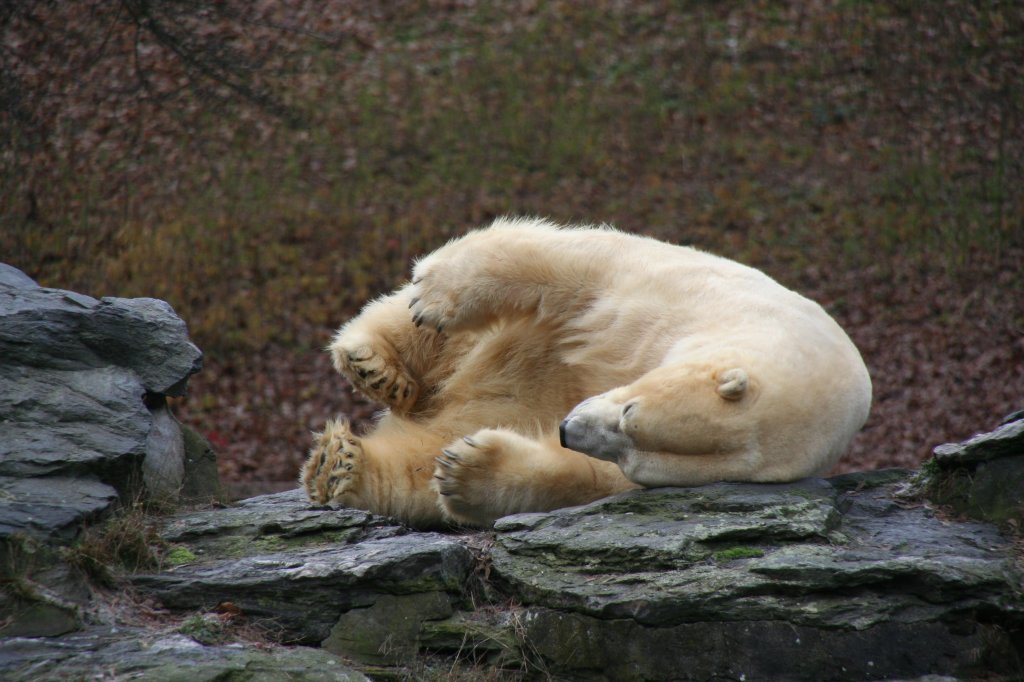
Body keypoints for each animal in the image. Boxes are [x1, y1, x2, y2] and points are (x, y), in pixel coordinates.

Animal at [303, 218, 872, 524]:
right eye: (629, 410)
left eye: (639, 458)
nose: (565, 428)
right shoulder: (686, 291)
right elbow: (577, 271)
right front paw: (437, 296)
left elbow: (582, 478)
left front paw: (469, 471)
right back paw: (377, 365)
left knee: (426, 448)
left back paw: (341, 465)